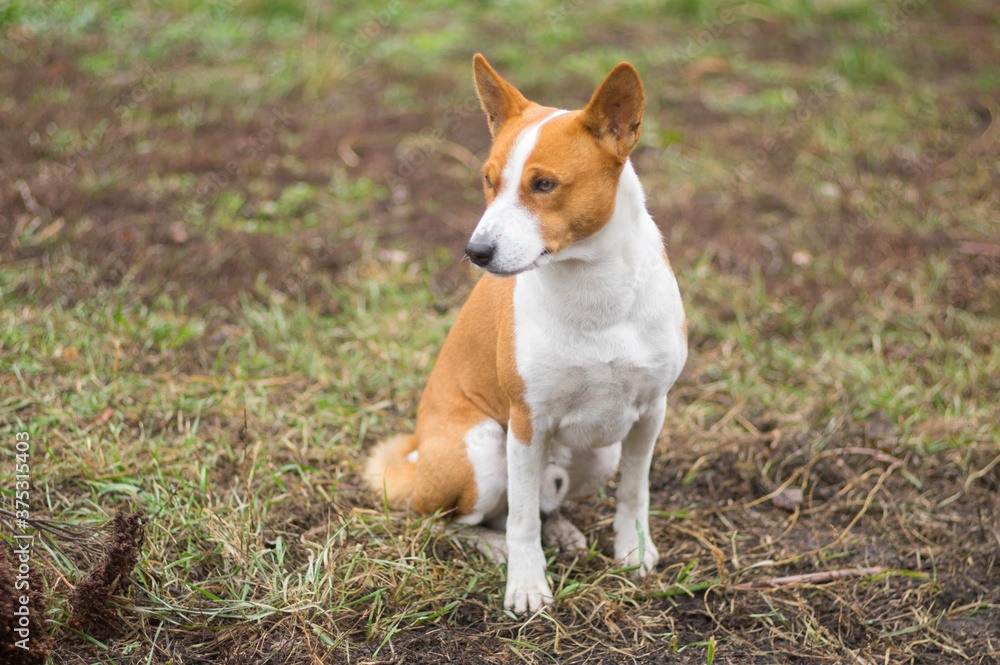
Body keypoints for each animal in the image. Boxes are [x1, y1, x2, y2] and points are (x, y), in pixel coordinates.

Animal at [366, 54, 688, 616]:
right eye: (488, 180)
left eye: (544, 185)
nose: (476, 252)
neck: (594, 291)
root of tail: (417, 460)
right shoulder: (525, 422)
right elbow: (518, 520)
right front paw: (526, 584)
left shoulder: (650, 412)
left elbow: (634, 491)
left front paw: (634, 549)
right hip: (484, 449)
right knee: (452, 521)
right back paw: (493, 546)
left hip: (594, 456)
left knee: (540, 501)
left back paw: (559, 531)